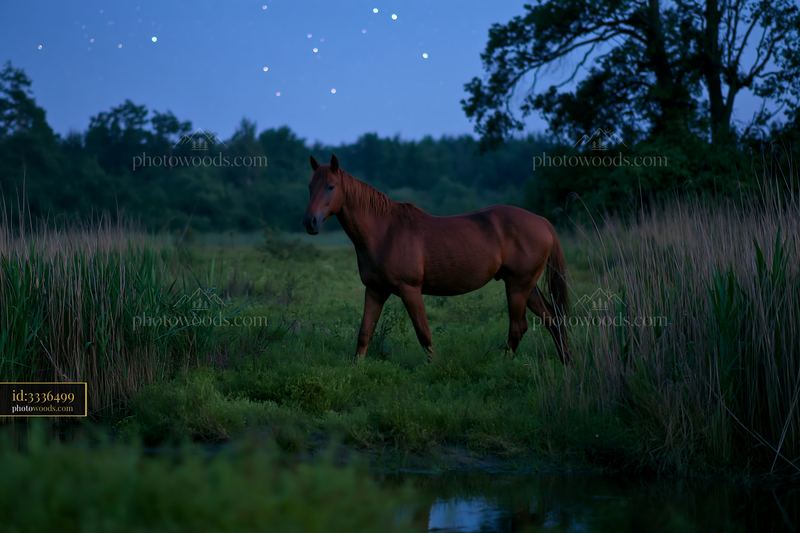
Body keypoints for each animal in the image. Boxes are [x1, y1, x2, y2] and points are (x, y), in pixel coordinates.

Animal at [302, 154, 571, 364]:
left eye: (330, 186)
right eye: (310, 187)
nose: (310, 222)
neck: (384, 232)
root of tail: (543, 222)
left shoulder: (410, 290)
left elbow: (423, 333)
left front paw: (435, 367)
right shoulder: (376, 290)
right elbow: (365, 332)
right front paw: (356, 369)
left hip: (517, 286)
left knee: (518, 327)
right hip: (526, 286)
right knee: (552, 319)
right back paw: (567, 363)